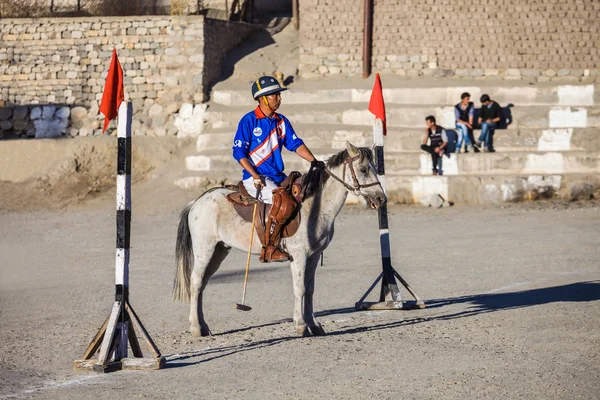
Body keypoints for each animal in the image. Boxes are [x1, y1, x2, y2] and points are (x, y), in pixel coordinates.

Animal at [176, 142, 386, 336]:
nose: (381, 198)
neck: (315, 206)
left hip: (220, 250)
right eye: (363, 169)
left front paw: (314, 325)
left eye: (375, 168)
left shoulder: (313, 256)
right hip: (205, 250)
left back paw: (203, 326)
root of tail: (196, 202)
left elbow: (310, 289)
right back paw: (196, 328)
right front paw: (301, 325)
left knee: (202, 283)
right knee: (195, 281)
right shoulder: (299, 255)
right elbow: (299, 288)